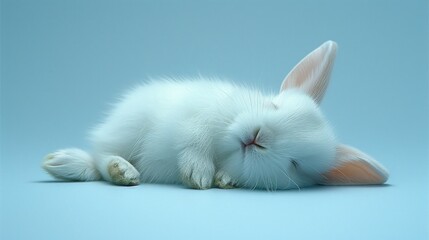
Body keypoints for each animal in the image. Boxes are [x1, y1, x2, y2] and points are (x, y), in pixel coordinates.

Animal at [42, 41, 388, 191]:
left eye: (295, 164)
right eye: (274, 106)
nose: (256, 138)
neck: (224, 148)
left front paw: (222, 180)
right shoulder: (197, 115)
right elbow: (193, 138)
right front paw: (198, 174)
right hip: (128, 128)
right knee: (100, 158)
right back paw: (119, 170)